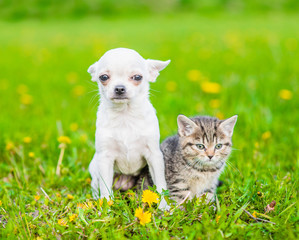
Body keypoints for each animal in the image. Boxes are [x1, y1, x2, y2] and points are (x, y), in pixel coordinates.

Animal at [88, 47, 170, 208]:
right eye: (103, 77)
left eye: (137, 77)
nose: (119, 88)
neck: (125, 116)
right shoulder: (105, 158)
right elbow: (105, 187)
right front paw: (106, 207)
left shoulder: (154, 156)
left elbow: (161, 183)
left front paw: (164, 206)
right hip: (94, 167)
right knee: (96, 184)